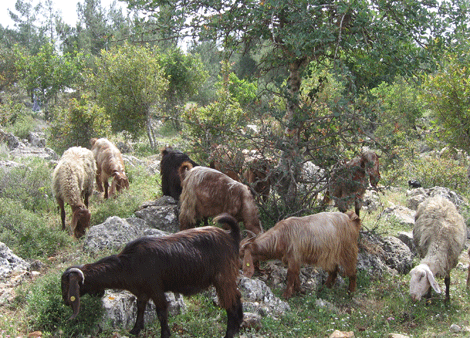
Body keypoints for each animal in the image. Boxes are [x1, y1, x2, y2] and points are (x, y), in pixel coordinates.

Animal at [61, 214, 242, 338]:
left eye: (67, 285)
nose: (65, 302)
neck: (128, 263)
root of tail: (231, 236)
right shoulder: (143, 291)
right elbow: (140, 307)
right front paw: (135, 329)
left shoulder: (155, 288)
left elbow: (161, 312)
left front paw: (165, 334)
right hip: (228, 278)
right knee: (238, 298)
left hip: (222, 278)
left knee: (231, 305)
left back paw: (228, 334)